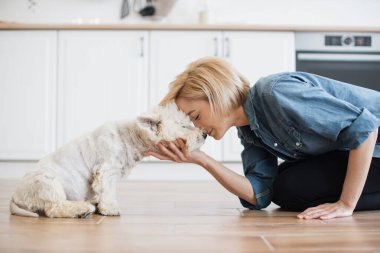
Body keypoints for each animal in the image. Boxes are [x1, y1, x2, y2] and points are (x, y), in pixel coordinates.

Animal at [10, 102, 206, 217]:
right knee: (55, 208)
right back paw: (82, 209)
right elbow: (108, 191)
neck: (131, 137)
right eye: (184, 126)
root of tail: (16, 196)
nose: (204, 134)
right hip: (48, 183)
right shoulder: (106, 170)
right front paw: (110, 208)